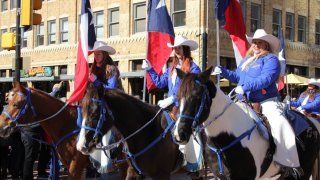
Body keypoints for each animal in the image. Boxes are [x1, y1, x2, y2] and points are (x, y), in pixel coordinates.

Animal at [174, 67, 318, 180]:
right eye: (178, 96)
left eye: (197, 96)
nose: (179, 134)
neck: (225, 137)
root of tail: (311, 123)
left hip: (305, 170)